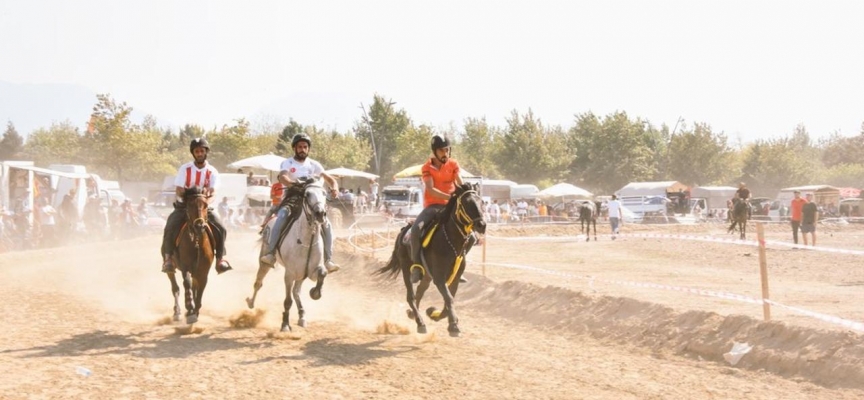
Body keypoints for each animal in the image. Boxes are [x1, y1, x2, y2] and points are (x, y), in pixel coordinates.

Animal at [168, 188, 215, 324]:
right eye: (190, 205)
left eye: (206, 205)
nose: (199, 225)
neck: (197, 243)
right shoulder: (186, 267)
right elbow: (187, 283)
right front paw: (190, 309)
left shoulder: (203, 271)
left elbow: (200, 288)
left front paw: (195, 311)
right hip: (171, 268)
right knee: (175, 287)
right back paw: (177, 312)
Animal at [248, 180, 332, 332]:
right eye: (307, 194)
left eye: (324, 193)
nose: (320, 213)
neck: (307, 240)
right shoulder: (289, 274)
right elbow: (287, 301)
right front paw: (285, 324)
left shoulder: (311, 271)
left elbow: (323, 273)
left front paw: (315, 293)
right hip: (265, 260)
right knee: (258, 283)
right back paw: (251, 302)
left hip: (301, 275)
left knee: (296, 292)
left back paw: (302, 316)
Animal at [378, 184, 486, 338]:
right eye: (466, 203)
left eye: (481, 202)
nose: (482, 225)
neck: (450, 241)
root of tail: (403, 231)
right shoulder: (439, 278)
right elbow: (449, 299)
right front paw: (453, 326)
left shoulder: (454, 278)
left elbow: (448, 301)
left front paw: (434, 313)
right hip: (406, 268)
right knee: (411, 296)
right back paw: (420, 323)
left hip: (427, 276)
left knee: (420, 292)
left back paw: (413, 314)